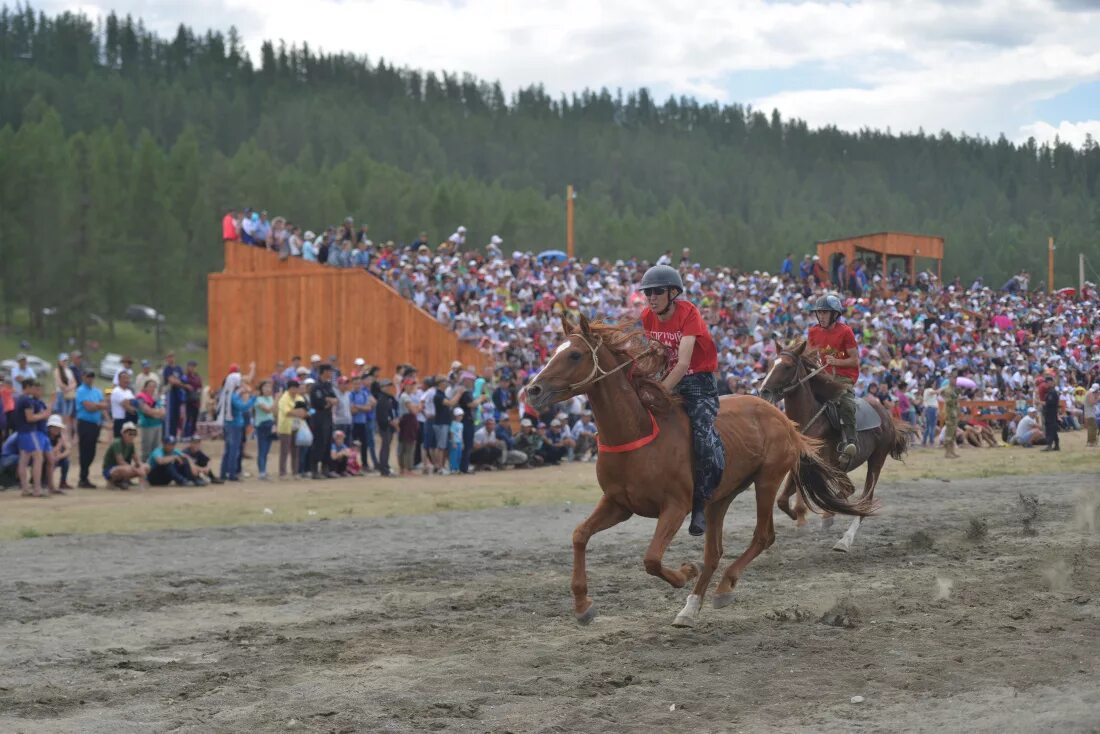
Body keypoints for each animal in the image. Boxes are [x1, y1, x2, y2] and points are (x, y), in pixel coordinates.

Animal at [525, 312, 875, 629]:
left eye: (574, 354)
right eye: (555, 349)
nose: (533, 391)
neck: (637, 432)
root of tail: (782, 418)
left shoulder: (676, 506)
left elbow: (652, 558)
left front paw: (683, 573)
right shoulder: (618, 504)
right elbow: (579, 535)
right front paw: (583, 605)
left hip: (767, 479)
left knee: (763, 536)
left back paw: (723, 587)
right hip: (719, 498)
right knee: (714, 552)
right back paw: (691, 608)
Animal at [761, 341, 915, 554]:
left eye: (787, 366)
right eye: (770, 364)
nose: (763, 392)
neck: (810, 419)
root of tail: (885, 413)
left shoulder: (825, 467)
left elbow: (843, 493)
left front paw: (821, 516)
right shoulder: (801, 467)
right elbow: (783, 500)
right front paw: (798, 517)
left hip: (876, 460)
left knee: (865, 499)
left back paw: (845, 540)